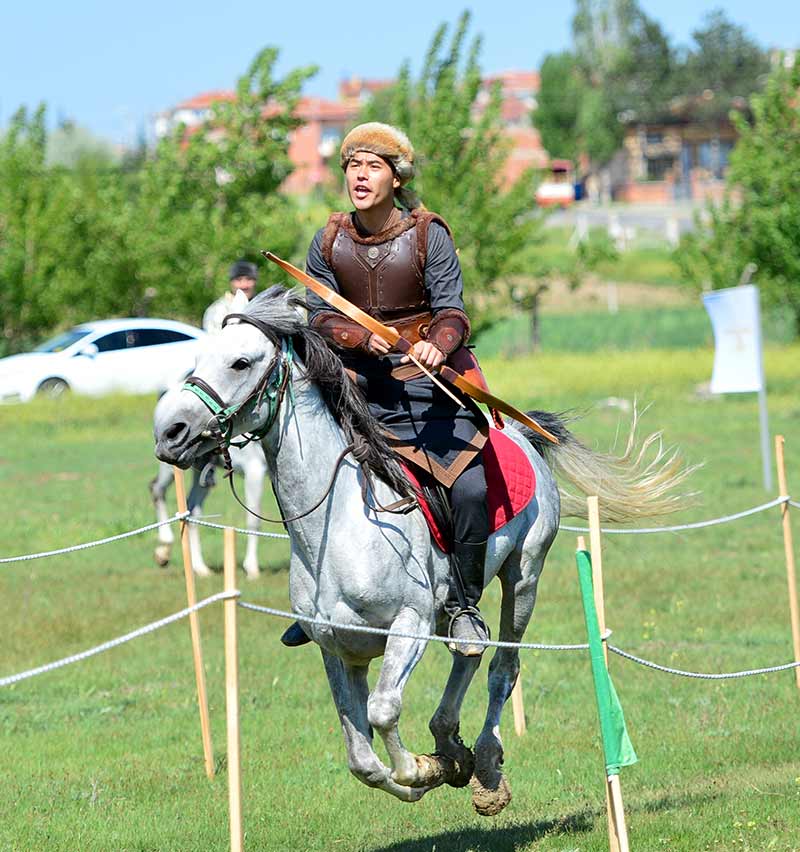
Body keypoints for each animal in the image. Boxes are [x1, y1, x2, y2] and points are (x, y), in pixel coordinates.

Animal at [152, 442, 270, 576]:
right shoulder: (254, 469)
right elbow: (254, 520)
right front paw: (251, 568)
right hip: (170, 465)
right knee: (157, 489)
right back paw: (164, 548)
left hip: (201, 470)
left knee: (192, 510)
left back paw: (199, 567)